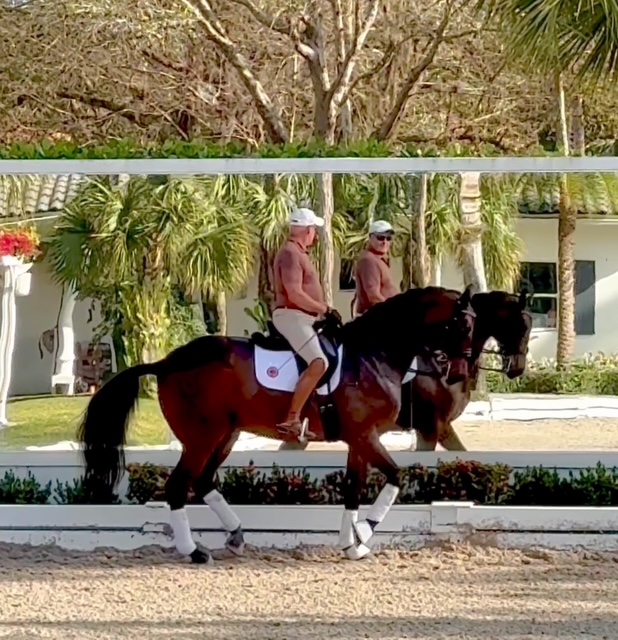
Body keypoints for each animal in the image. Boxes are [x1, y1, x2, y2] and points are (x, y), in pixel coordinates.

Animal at [77, 285, 476, 564]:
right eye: (464, 323)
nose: (458, 374)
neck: (373, 355)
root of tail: (165, 362)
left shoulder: (360, 440)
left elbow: (353, 490)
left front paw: (351, 546)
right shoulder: (366, 437)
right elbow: (396, 477)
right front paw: (363, 532)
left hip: (225, 434)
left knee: (203, 482)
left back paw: (236, 535)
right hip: (202, 437)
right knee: (178, 487)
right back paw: (194, 552)